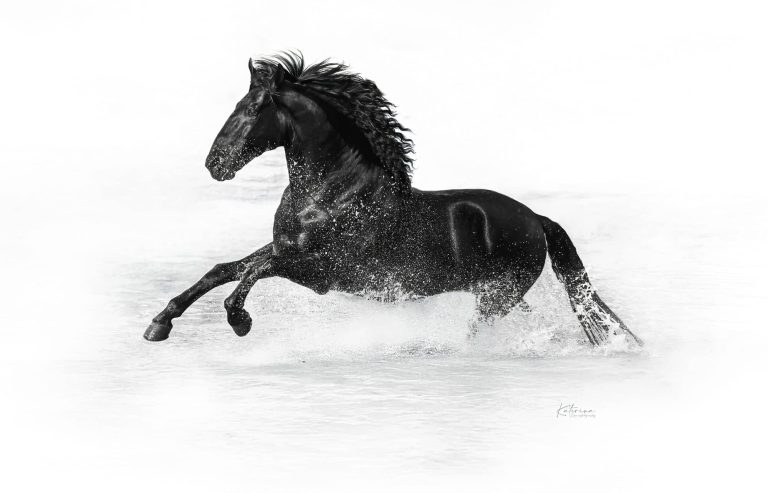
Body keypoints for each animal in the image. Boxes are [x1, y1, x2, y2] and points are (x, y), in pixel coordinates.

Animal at [144, 52, 642, 347]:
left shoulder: (322, 271)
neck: (330, 193)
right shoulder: (288, 250)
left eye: (250, 110)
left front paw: (239, 321)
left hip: (497, 296)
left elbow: (251, 271)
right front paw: (159, 324)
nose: (214, 164)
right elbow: (224, 269)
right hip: (496, 294)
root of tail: (536, 219)